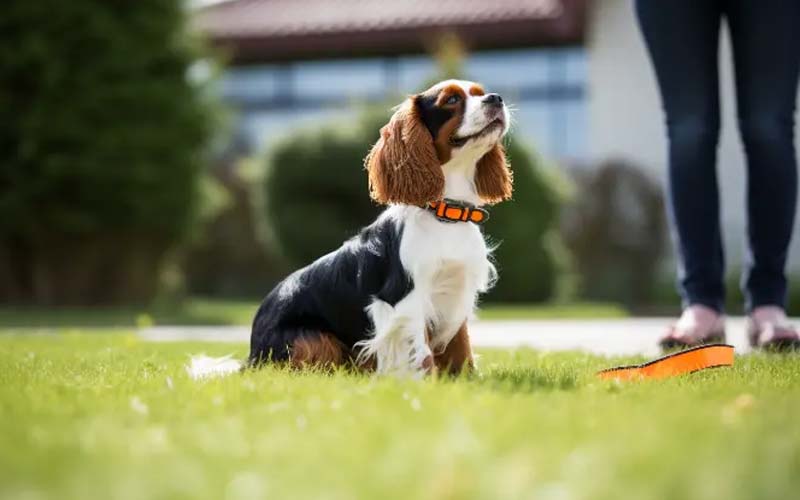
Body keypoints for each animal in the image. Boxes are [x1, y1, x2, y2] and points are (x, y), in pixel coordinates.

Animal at [188, 79, 512, 378]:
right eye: (452, 100)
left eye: (480, 92)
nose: (496, 98)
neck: (445, 212)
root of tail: (252, 355)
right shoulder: (405, 300)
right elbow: (420, 354)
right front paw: (426, 384)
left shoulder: (455, 298)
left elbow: (462, 348)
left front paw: (465, 383)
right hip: (311, 339)